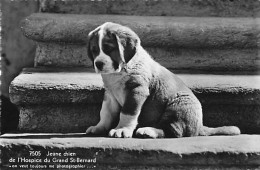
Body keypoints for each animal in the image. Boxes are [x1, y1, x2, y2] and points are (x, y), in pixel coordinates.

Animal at [85, 22, 240, 138]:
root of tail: (199, 126)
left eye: (109, 49)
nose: (98, 64)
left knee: (174, 130)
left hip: (178, 104)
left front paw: (121, 129)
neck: (119, 71)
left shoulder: (136, 90)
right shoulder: (110, 95)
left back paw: (149, 131)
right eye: (94, 50)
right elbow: (105, 112)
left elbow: (127, 112)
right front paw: (100, 127)